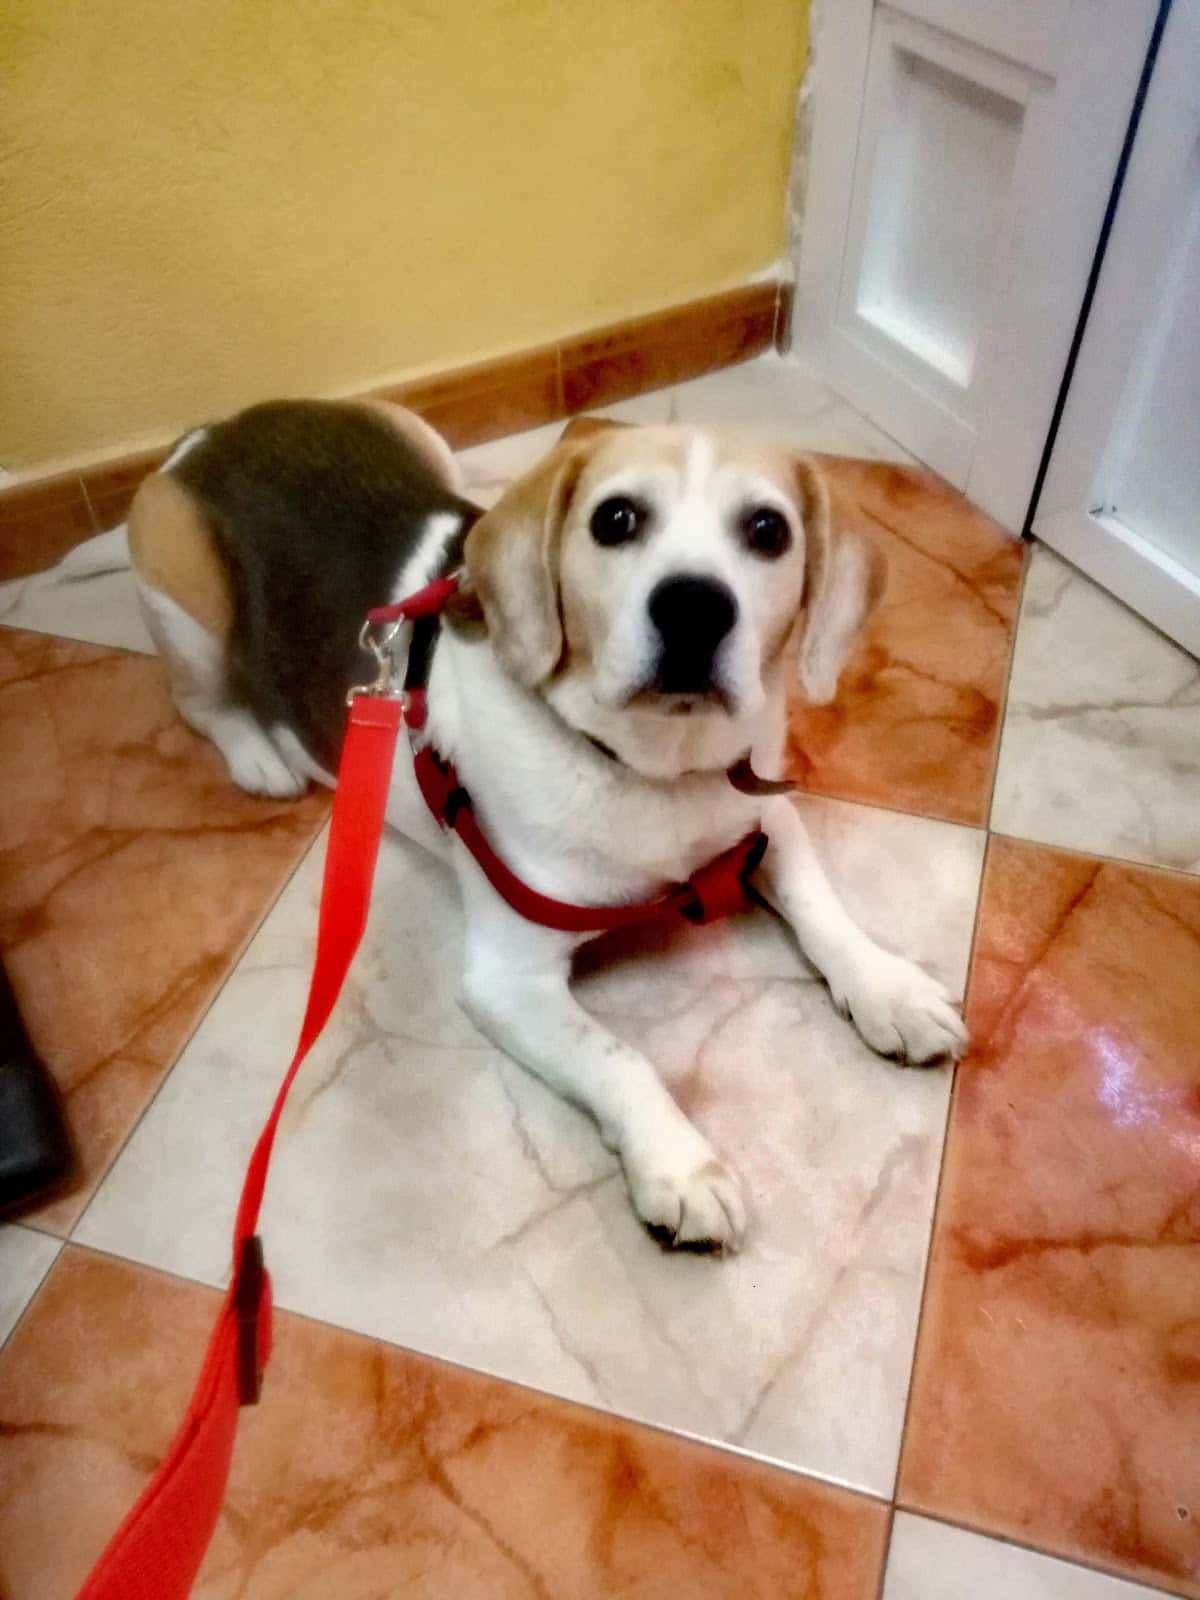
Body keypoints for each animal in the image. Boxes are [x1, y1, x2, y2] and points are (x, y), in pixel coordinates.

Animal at [80, 397, 966, 1251]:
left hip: (420, 438)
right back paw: (260, 755)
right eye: (615, 519)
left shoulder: (766, 813)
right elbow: (620, 1058)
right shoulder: (511, 979)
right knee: (203, 704)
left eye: (768, 530)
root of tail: (211, 435)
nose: (693, 607)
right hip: (182, 602)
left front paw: (887, 988)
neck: (651, 769)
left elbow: (824, 911)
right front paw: (678, 1165)